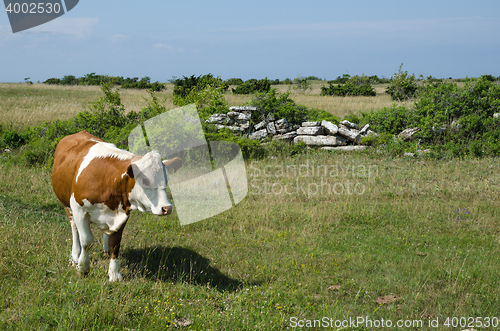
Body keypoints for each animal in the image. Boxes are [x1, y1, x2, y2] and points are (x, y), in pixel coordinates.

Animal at [53, 131, 182, 282]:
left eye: (166, 180)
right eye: (145, 180)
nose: (167, 208)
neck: (108, 179)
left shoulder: (122, 213)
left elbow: (115, 244)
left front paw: (114, 274)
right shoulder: (79, 208)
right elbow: (86, 241)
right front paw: (83, 268)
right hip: (67, 205)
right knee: (74, 228)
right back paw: (75, 256)